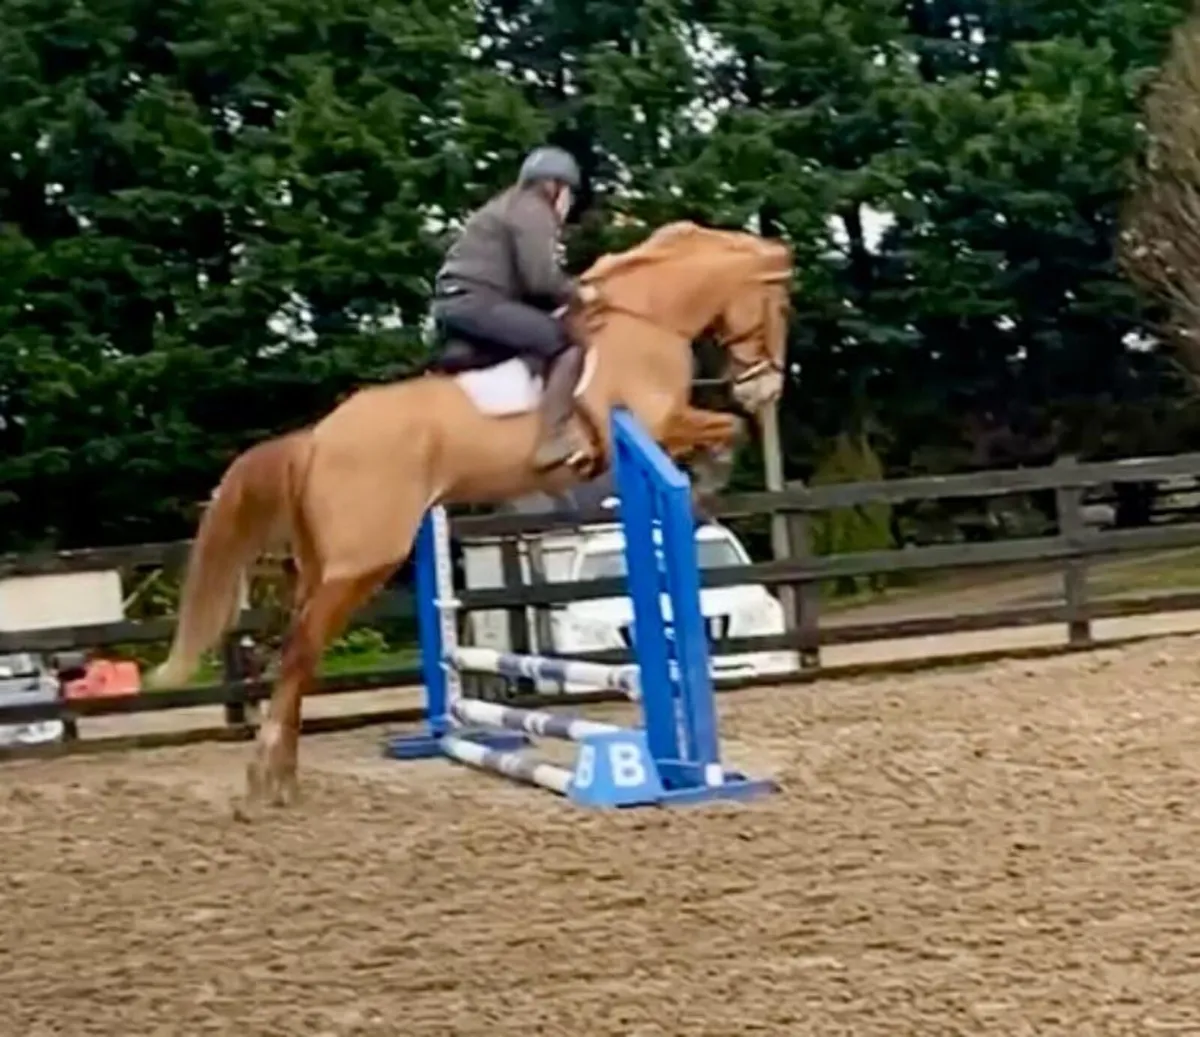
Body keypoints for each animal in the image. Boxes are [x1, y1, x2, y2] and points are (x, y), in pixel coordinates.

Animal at [154, 220, 793, 808]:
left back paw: (283, 773)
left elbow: (724, 428)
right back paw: (271, 777)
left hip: (324, 563)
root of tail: (315, 439)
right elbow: (724, 430)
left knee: (299, 652)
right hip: (363, 562)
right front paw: (706, 485)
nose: (766, 391)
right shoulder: (653, 428)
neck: (645, 319)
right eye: (778, 306)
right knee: (299, 651)